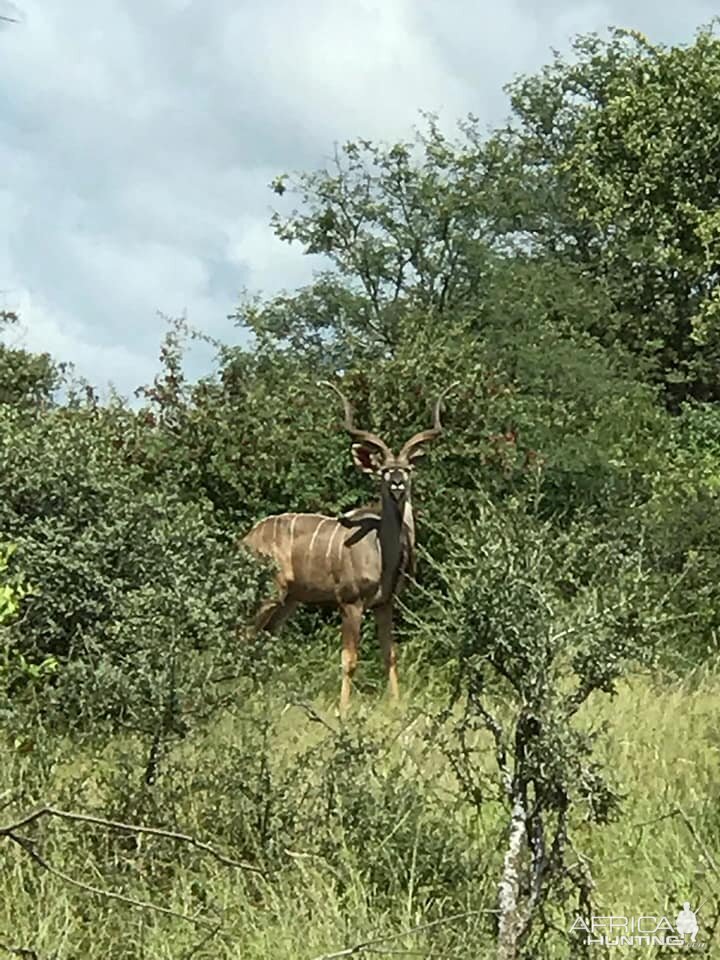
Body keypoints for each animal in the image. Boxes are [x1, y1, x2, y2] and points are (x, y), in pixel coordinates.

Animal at [242, 382, 456, 712]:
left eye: (407, 468)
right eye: (384, 470)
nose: (397, 482)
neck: (382, 550)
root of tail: (247, 539)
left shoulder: (384, 604)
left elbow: (390, 655)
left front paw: (396, 705)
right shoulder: (350, 603)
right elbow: (349, 659)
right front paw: (343, 711)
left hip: (289, 600)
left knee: (265, 640)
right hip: (268, 594)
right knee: (246, 635)